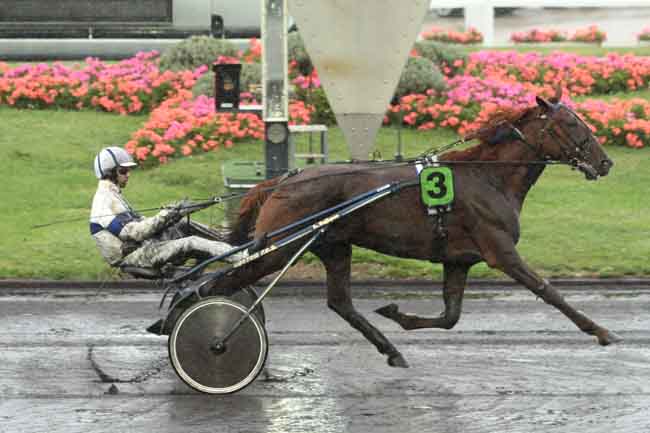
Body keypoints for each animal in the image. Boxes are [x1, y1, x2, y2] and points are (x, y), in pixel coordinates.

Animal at [196, 93, 616, 366]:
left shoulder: (459, 260)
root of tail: (284, 179)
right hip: (280, 247)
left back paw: (391, 351)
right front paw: (601, 331)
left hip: (333, 246)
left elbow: (450, 315)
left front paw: (399, 315)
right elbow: (549, 292)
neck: (488, 177)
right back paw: (208, 335)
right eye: (571, 124)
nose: (606, 162)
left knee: (340, 302)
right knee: (217, 284)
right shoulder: (500, 251)